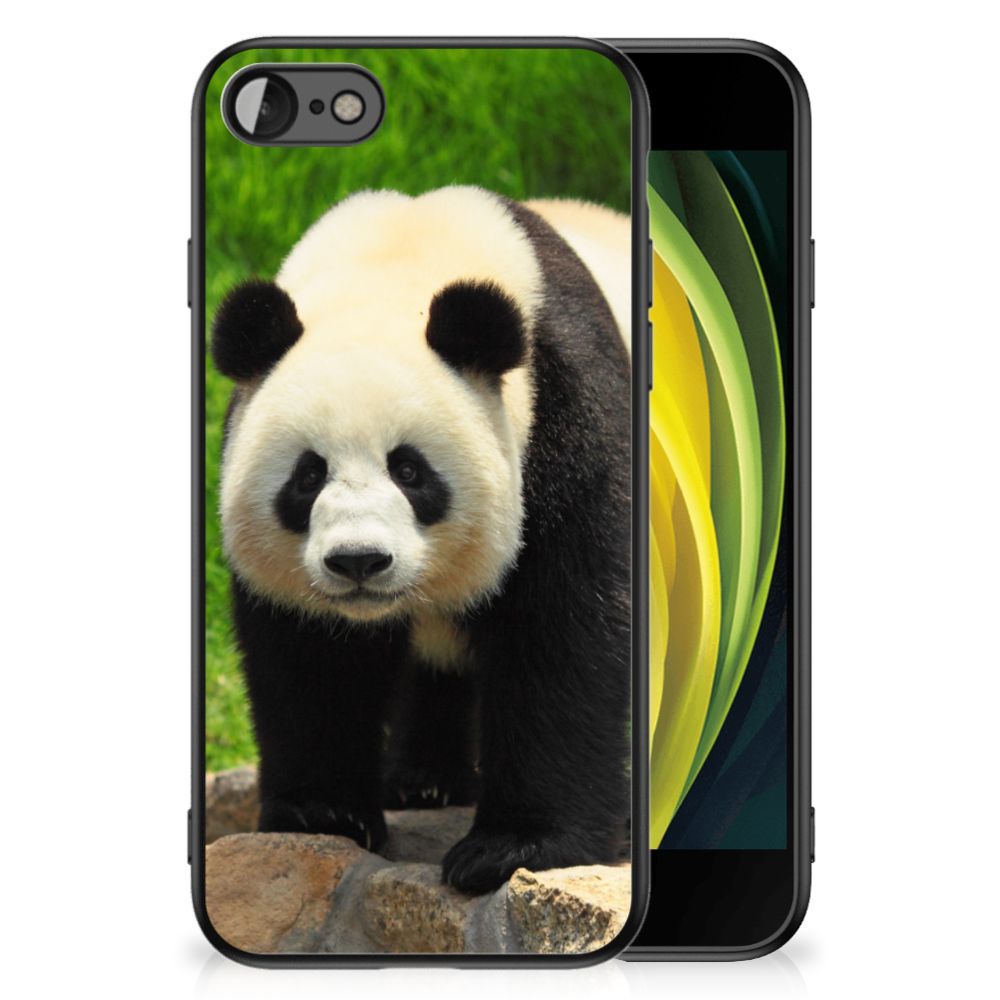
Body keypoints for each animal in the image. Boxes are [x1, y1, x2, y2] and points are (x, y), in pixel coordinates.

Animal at [211, 185, 632, 894]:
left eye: (409, 470)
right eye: (308, 475)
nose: (358, 561)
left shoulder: (568, 418)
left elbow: (566, 630)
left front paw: (512, 847)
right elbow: (309, 656)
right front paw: (324, 813)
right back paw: (424, 781)